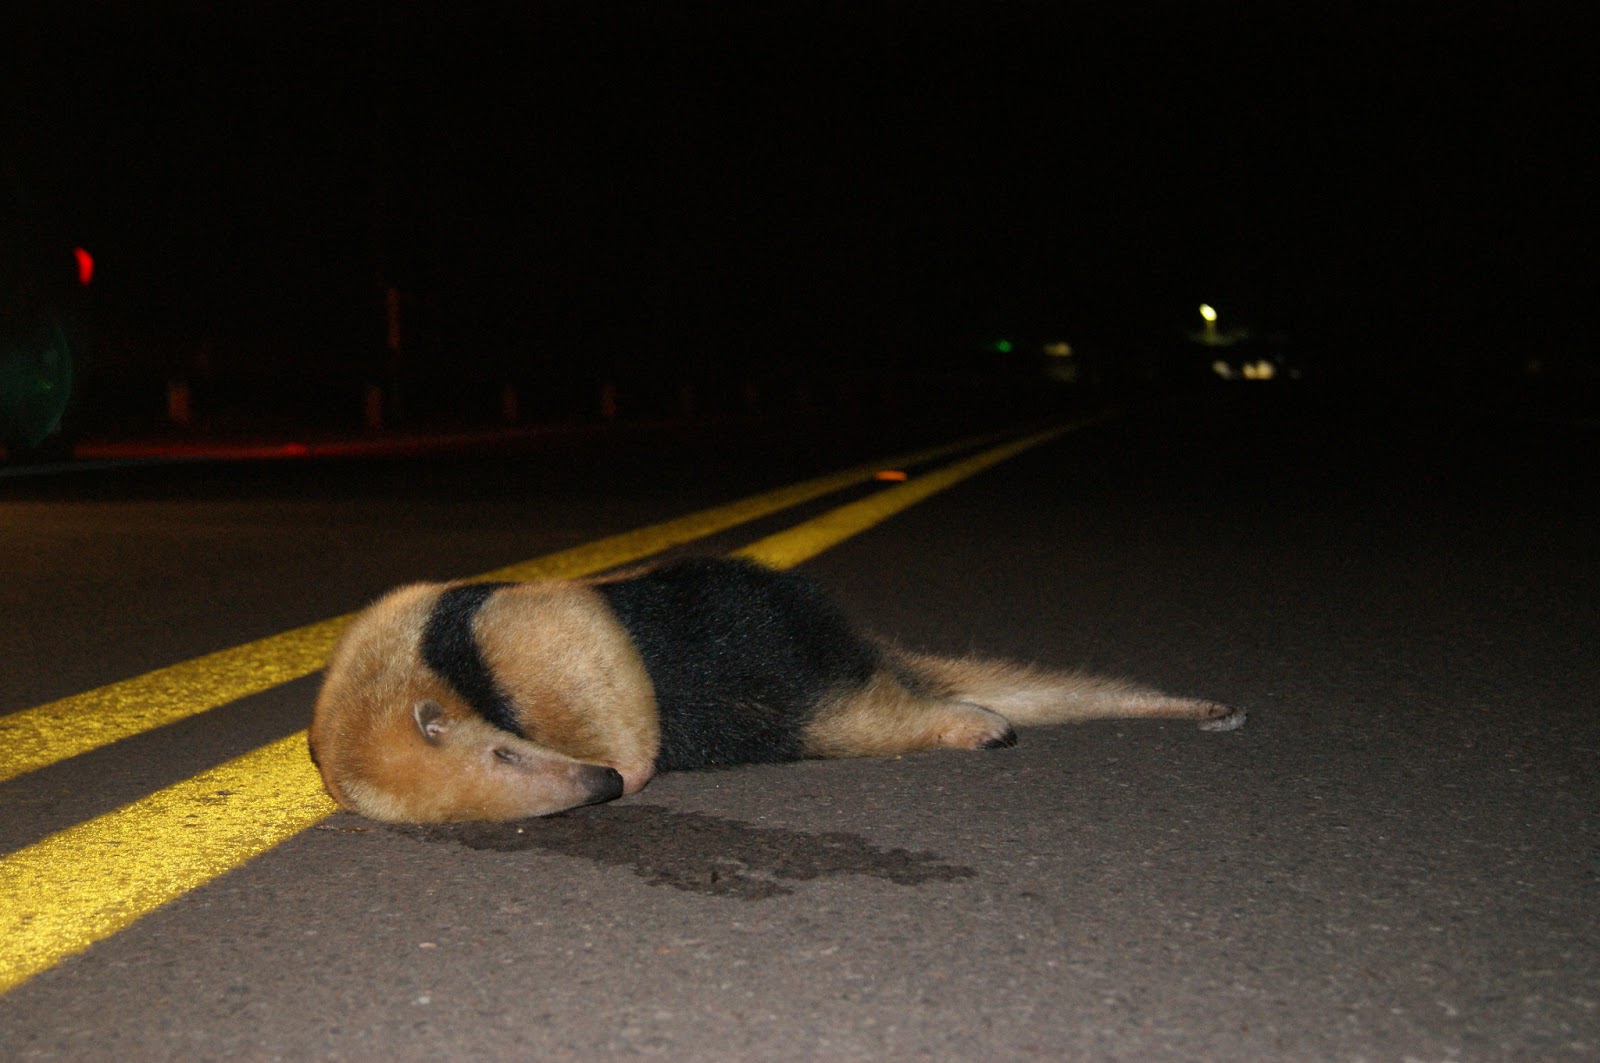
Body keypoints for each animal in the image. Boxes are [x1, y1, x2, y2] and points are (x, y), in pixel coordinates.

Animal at [309, 556, 1244, 823]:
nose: (601, 787)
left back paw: (975, 722)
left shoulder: (502, 630)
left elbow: (585, 651)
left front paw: (632, 766)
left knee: (871, 714)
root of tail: (861, 651)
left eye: (503, 751)